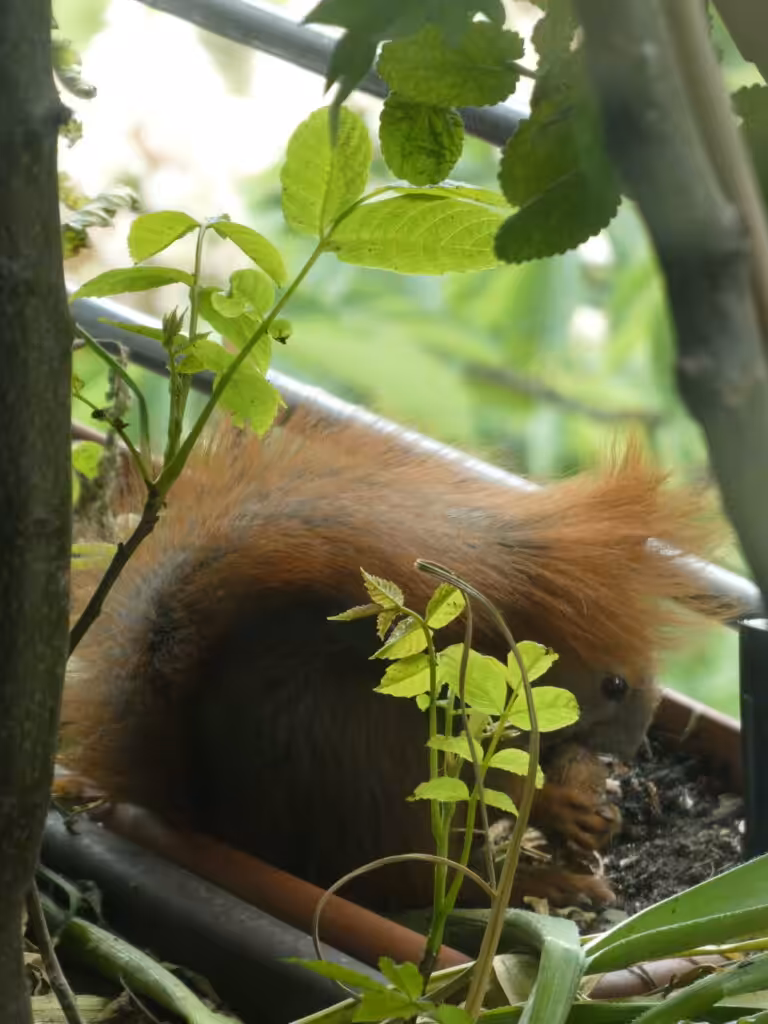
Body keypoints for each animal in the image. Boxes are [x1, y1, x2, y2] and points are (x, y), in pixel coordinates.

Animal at [62, 412, 718, 911]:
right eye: (615, 684)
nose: (632, 753)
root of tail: (230, 828)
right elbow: (497, 783)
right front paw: (568, 806)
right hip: (391, 779)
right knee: (434, 884)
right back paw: (552, 885)